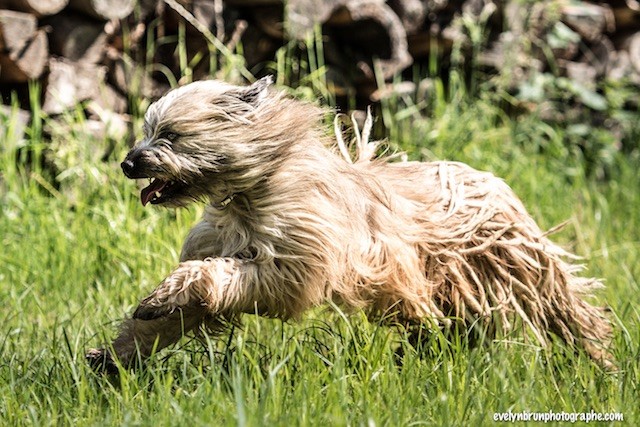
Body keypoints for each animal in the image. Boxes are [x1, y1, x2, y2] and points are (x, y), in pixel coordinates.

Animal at [86, 78, 616, 372]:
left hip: (518, 271)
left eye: (171, 135)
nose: (128, 163)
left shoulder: (292, 266)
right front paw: (117, 354)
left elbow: (215, 274)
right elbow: (171, 312)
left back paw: (601, 361)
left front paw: (157, 304)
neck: (250, 191)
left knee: (570, 313)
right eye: (149, 130)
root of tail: (493, 181)